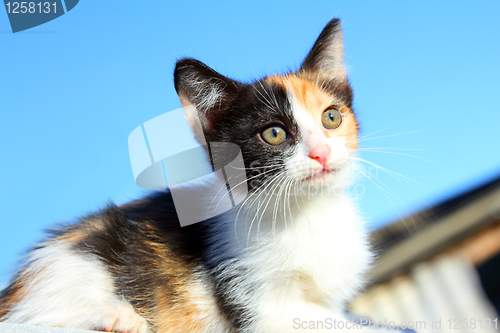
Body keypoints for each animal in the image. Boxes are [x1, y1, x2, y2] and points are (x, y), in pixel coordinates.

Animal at [0, 18, 374, 332]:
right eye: (274, 134)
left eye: (331, 118)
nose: (321, 152)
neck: (307, 211)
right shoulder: (257, 303)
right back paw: (117, 318)